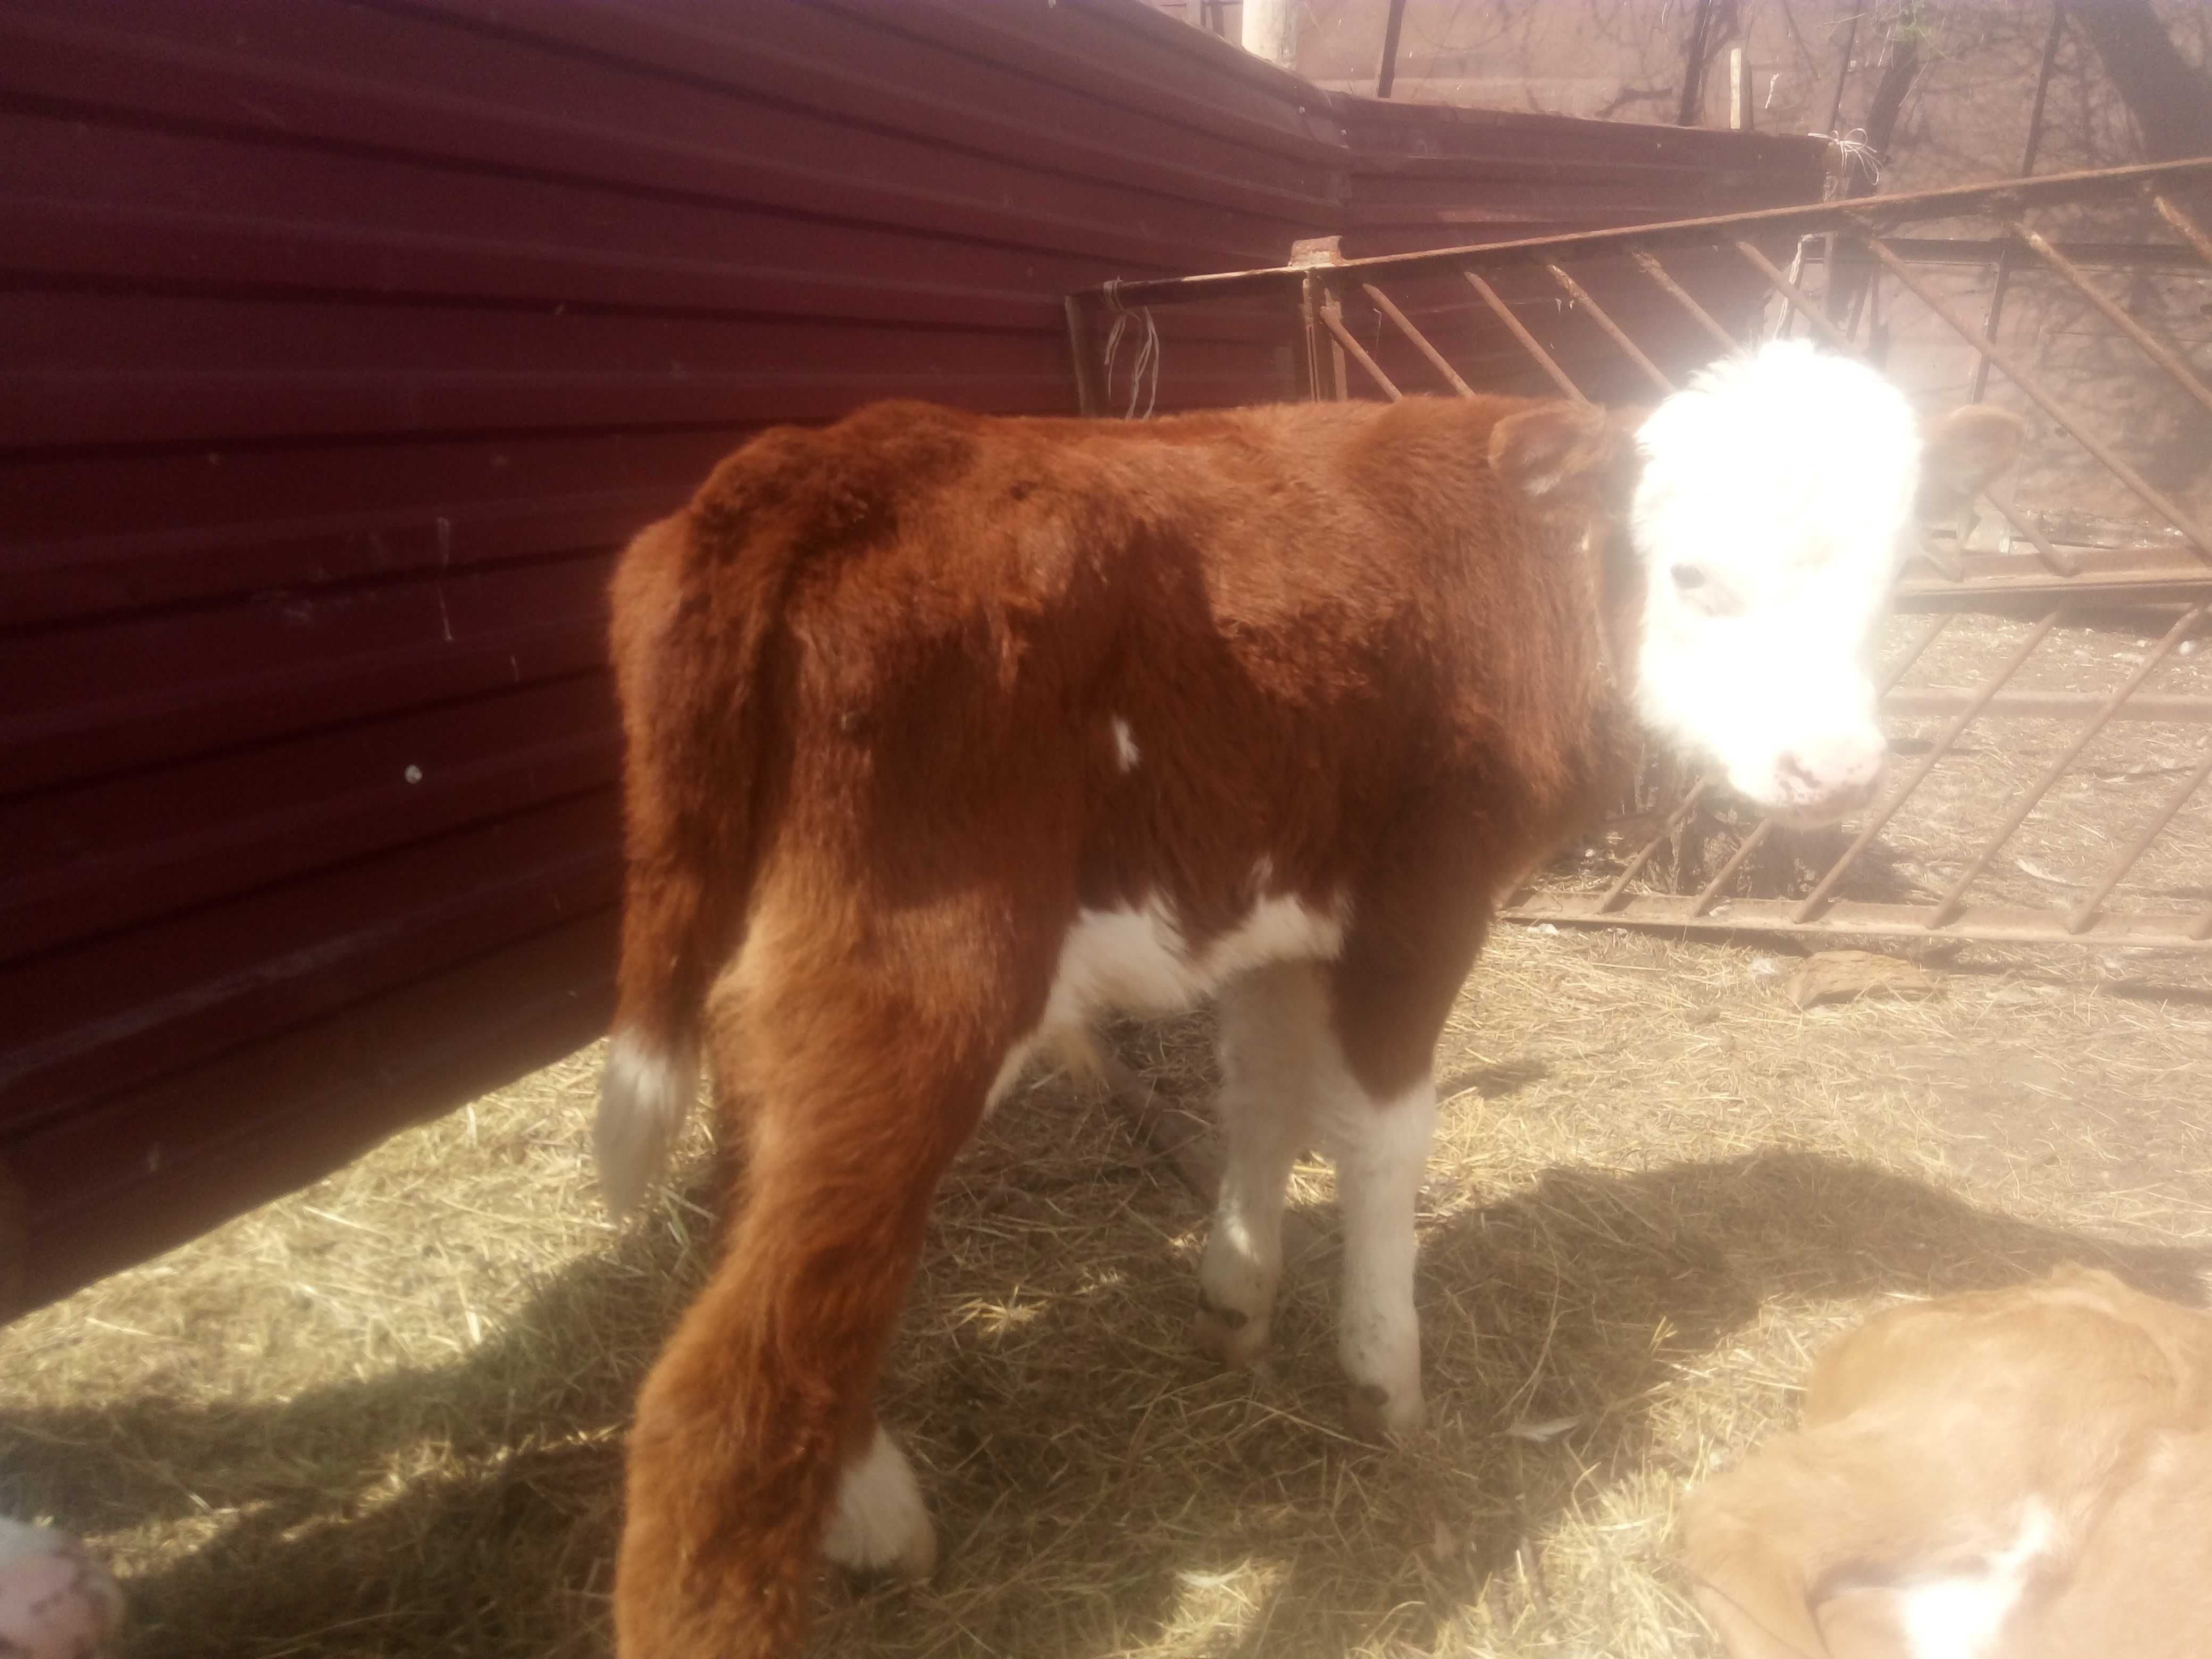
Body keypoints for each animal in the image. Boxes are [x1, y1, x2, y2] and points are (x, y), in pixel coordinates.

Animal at [588, 340, 2026, 1659]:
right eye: (1693, 575)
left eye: (1891, 576)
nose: (1833, 771)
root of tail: (821, 462)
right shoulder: (1424, 891)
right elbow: (1378, 1129)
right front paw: (1384, 1375)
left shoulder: (1274, 901)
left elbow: (1261, 1092)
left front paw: (1237, 1298)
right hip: (920, 981)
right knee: (725, 1402)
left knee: (758, 1222)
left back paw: (873, 1507)